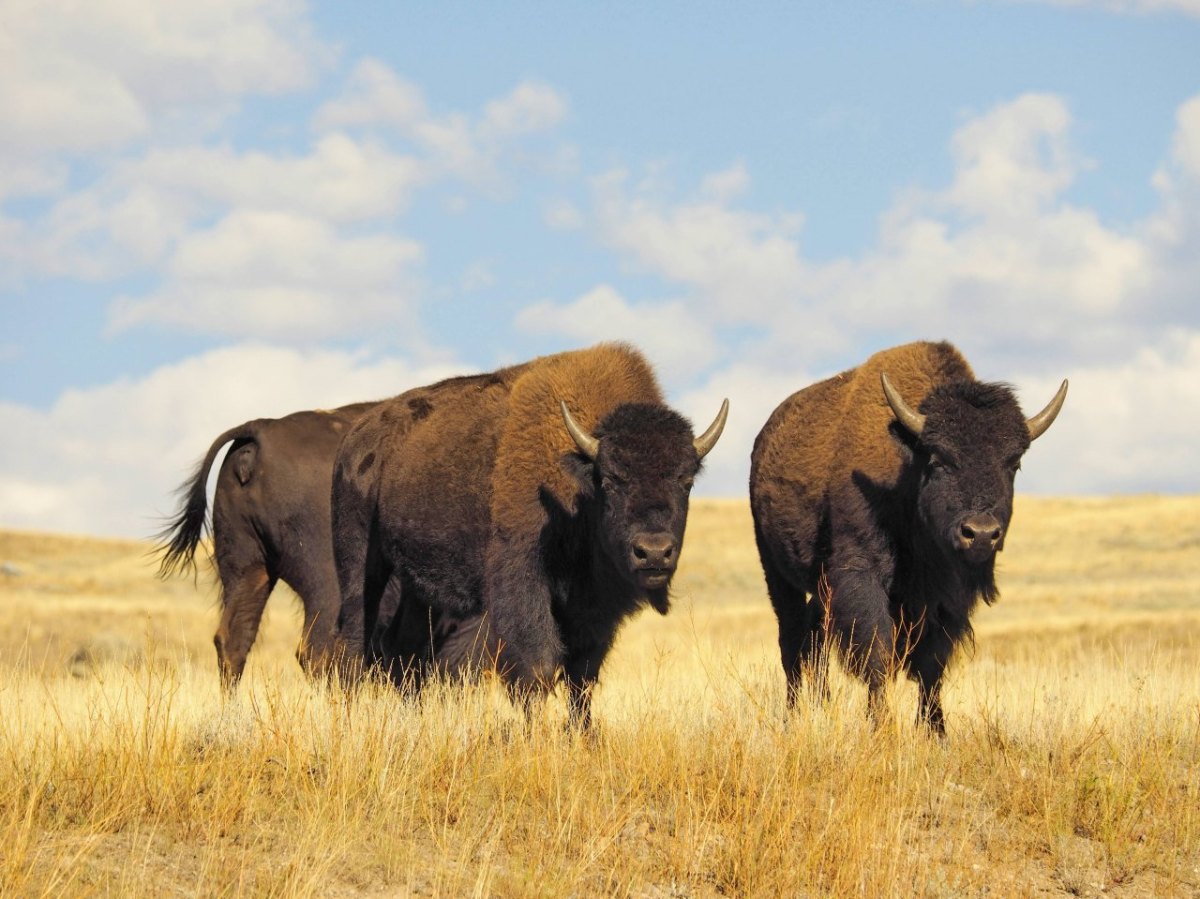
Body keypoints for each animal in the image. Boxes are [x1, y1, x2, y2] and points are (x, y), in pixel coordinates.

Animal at [332, 343, 728, 727]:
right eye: (610, 480)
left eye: (685, 480)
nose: (654, 552)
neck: (578, 490)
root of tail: (356, 439)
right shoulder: (524, 586)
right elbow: (537, 668)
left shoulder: (595, 610)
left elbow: (582, 679)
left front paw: (582, 737)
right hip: (361, 565)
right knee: (353, 644)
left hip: (419, 587)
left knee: (405, 650)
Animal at [749, 341, 1067, 734]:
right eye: (938, 459)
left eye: (1014, 462)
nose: (980, 534)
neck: (907, 467)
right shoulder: (862, 576)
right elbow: (877, 652)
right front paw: (881, 726)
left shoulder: (947, 599)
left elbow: (932, 666)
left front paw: (937, 731)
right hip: (777, 573)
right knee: (792, 642)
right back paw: (793, 717)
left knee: (814, 638)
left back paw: (822, 707)